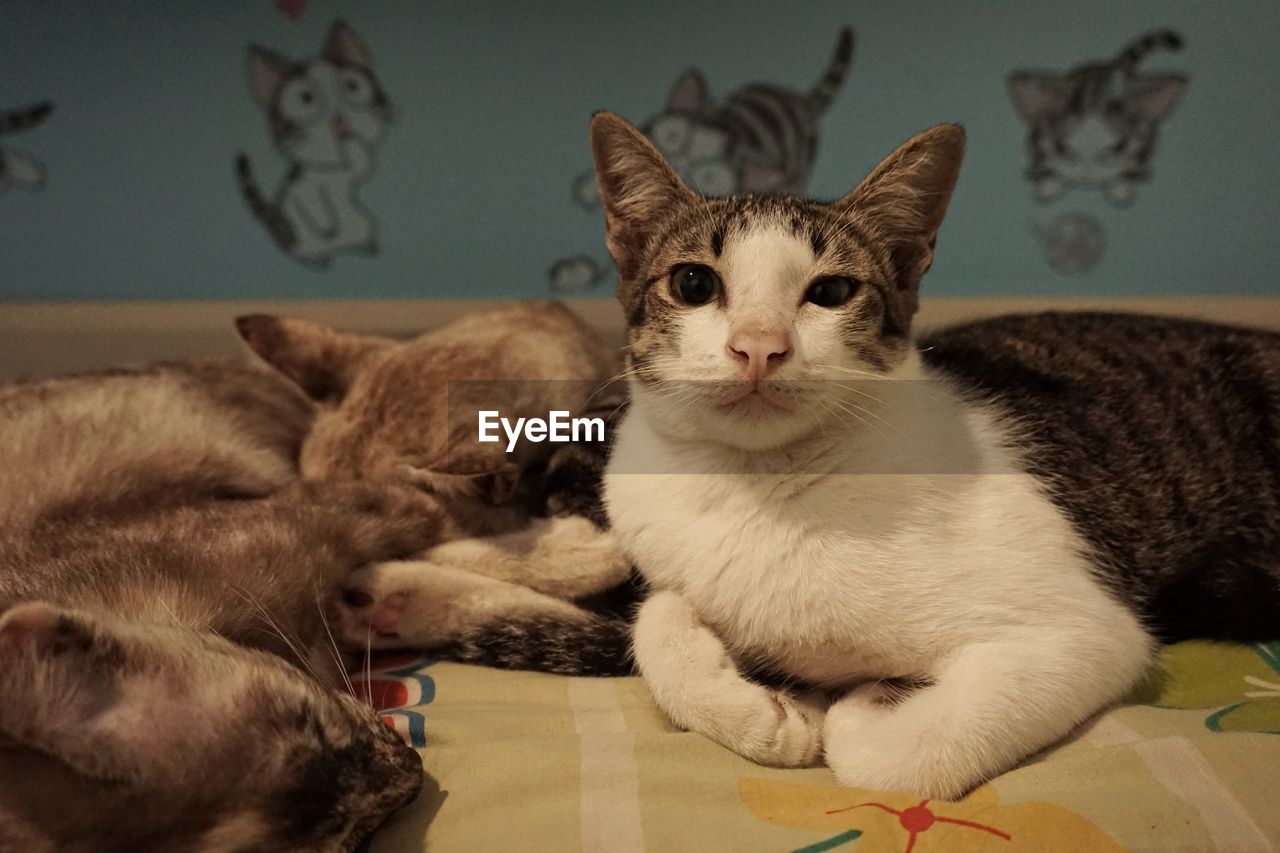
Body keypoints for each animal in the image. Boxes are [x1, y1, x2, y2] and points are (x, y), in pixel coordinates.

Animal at [234, 19, 384, 267]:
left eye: (351, 86)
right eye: (306, 99)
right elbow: (308, 200)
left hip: (363, 223)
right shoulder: (302, 186)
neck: (333, 170)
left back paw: (364, 245)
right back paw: (319, 257)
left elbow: (361, 165)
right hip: (300, 238)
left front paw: (354, 146)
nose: (338, 121)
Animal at [588, 111, 1280, 799]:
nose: (759, 346)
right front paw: (762, 712)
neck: (758, 485)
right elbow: (655, 614)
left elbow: (891, 759)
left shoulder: (1086, 633)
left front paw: (866, 704)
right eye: (694, 282)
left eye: (831, 291)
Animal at [1008, 30, 1187, 206]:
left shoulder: (1145, 143)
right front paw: (1049, 185)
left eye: (1119, 147)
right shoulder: (1035, 142)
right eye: (1060, 147)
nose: (1089, 169)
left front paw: (1121, 189)